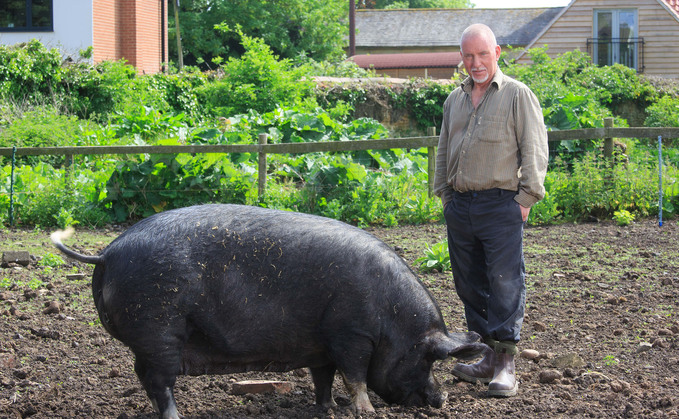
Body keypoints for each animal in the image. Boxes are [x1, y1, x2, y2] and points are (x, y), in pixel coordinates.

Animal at [53, 205, 486, 418]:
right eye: (427, 359)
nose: (442, 399)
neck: (392, 320)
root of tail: (108, 252)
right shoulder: (351, 335)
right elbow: (355, 376)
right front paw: (364, 412)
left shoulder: (322, 344)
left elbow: (323, 377)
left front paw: (327, 409)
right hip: (158, 329)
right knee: (157, 380)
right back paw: (176, 416)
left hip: (152, 334)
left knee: (146, 378)